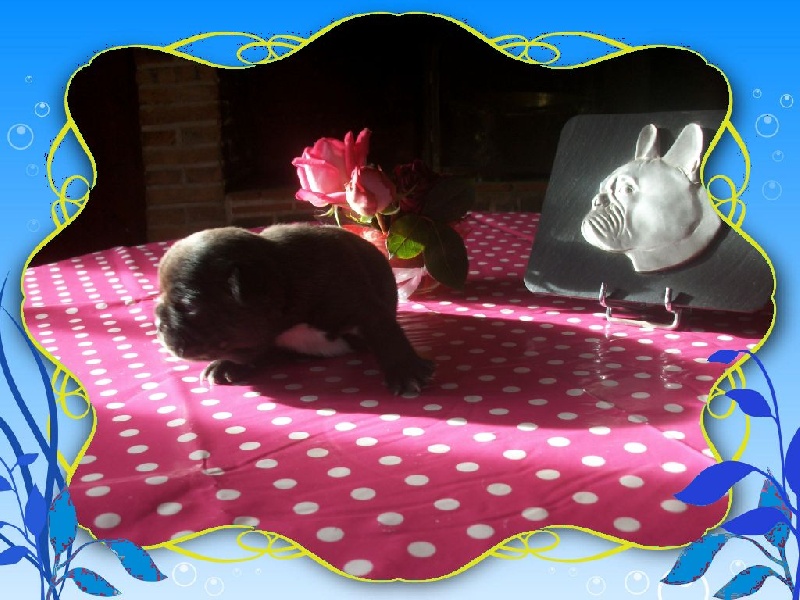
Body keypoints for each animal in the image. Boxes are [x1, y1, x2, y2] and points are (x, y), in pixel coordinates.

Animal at [155, 224, 435, 395]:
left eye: (189, 306)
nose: (158, 322)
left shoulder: (365, 308)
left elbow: (387, 336)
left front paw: (405, 371)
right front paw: (225, 365)